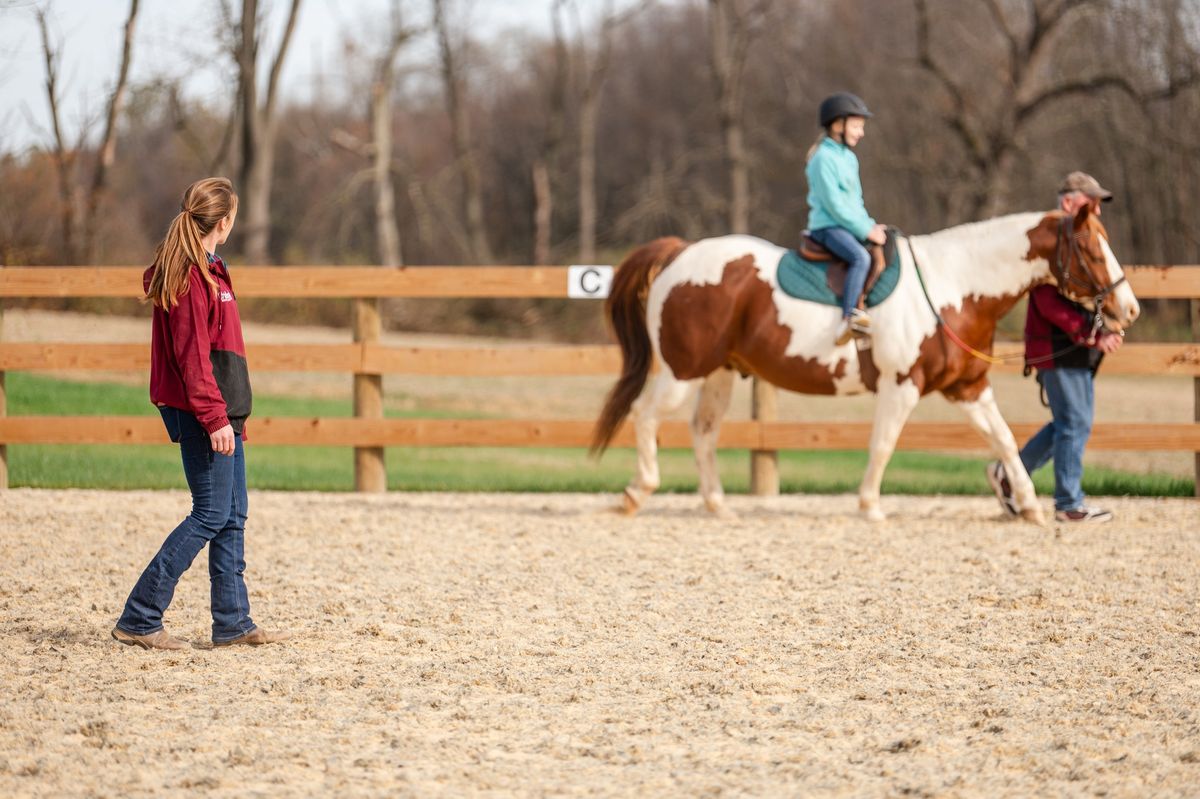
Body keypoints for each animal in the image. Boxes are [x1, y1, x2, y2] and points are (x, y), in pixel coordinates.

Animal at [595, 203, 1137, 523]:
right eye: (1090, 247)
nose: (1128, 308)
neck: (952, 287)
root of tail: (680, 254)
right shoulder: (902, 386)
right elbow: (883, 444)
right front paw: (870, 504)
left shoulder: (968, 388)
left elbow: (1003, 439)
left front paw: (1026, 504)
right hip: (681, 372)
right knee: (645, 416)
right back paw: (638, 491)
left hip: (719, 373)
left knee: (703, 431)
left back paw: (717, 504)